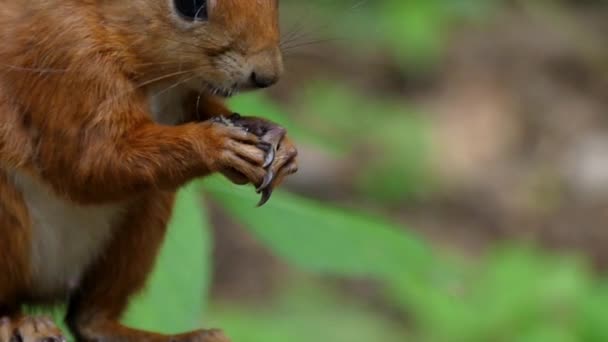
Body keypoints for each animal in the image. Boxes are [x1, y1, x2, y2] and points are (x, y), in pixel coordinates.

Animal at [0, 0, 296, 342]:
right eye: (189, 6)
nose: (267, 76)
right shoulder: (65, 58)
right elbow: (87, 164)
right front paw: (214, 144)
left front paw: (274, 138)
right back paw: (21, 322)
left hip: (143, 219)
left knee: (88, 318)